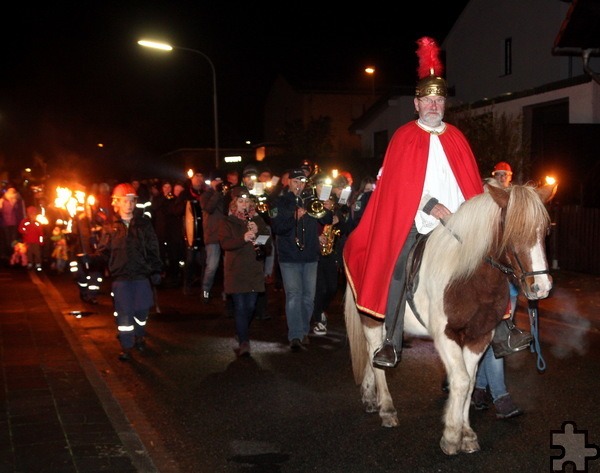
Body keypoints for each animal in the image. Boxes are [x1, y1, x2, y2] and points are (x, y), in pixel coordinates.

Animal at [344, 182, 556, 454]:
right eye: (513, 231)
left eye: (544, 232)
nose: (541, 287)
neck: (467, 276)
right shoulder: (446, 335)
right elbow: (462, 380)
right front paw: (452, 435)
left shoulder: (480, 336)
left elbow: (471, 381)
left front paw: (466, 434)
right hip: (372, 318)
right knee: (376, 357)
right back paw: (387, 409)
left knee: (373, 358)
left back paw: (371, 397)